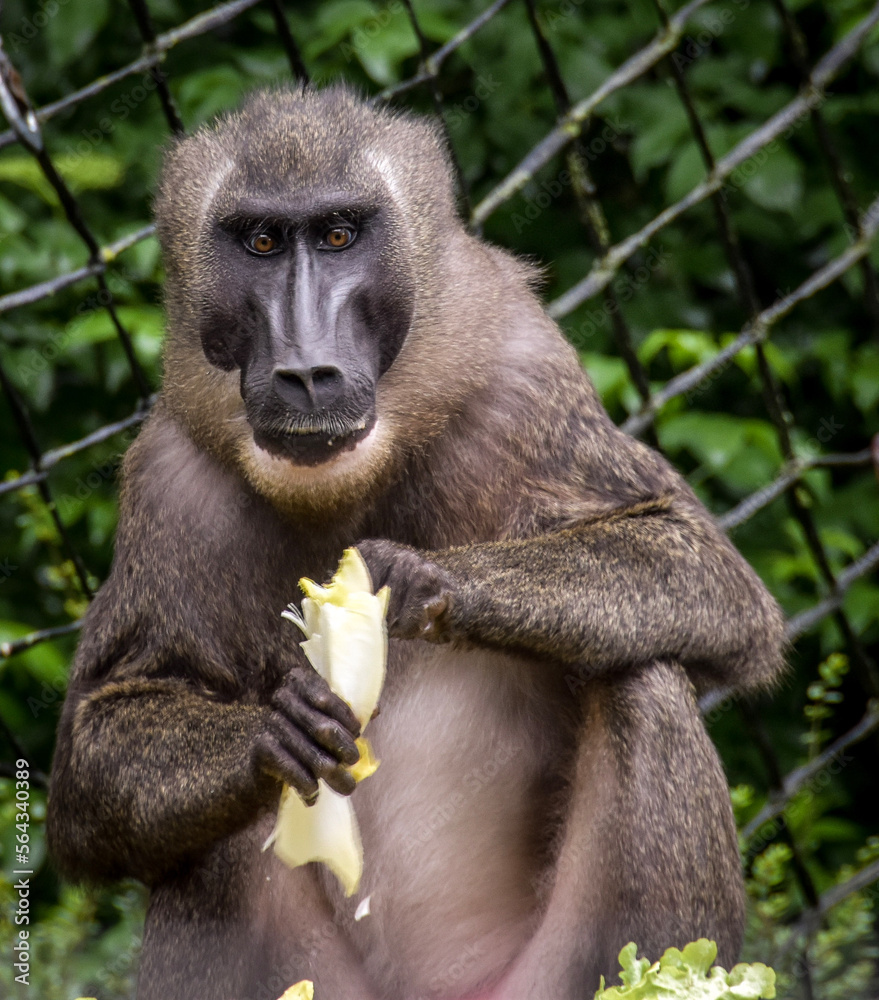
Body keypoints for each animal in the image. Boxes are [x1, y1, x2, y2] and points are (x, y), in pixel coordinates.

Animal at [46, 85, 785, 1000]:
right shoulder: (166, 483)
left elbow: (704, 569)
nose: (304, 371)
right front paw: (272, 731)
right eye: (261, 241)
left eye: (337, 235)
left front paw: (425, 581)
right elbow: (99, 751)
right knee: (208, 841)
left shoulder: (524, 380)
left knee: (641, 674)